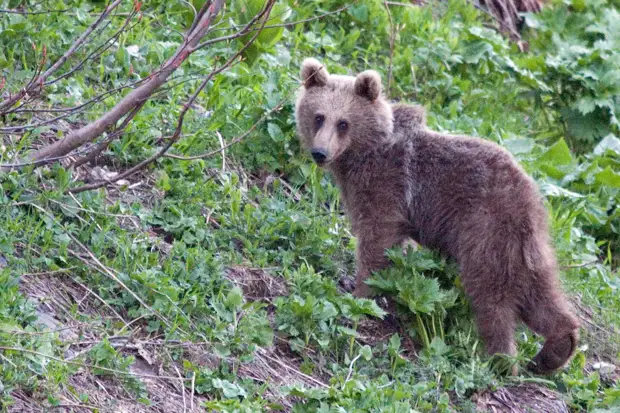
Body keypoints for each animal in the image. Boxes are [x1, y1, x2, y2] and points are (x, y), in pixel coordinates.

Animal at [296, 57, 580, 374]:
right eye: (318, 117)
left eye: (343, 123)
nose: (320, 152)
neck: (360, 155)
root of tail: (528, 197)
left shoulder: (387, 184)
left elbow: (376, 237)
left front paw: (359, 292)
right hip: (528, 246)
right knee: (540, 294)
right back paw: (555, 349)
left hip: (484, 229)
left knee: (491, 295)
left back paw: (500, 360)